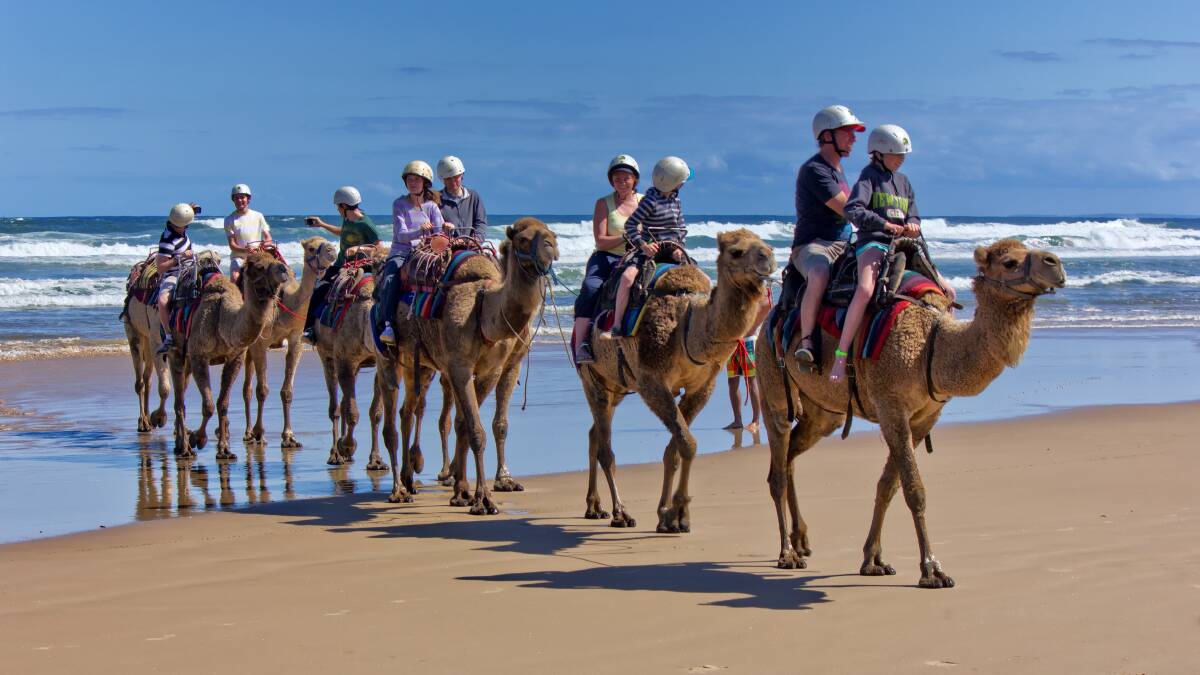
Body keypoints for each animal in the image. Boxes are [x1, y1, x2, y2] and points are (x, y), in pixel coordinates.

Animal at [166, 250, 291, 460]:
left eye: (275, 259)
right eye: (259, 267)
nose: (284, 270)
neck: (223, 320)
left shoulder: (235, 357)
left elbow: (222, 404)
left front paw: (224, 449)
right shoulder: (199, 355)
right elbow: (208, 405)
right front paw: (198, 438)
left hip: (187, 360)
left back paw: (179, 444)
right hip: (175, 351)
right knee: (179, 402)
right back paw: (184, 448)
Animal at [240, 236, 337, 447]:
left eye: (328, 241)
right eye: (311, 248)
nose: (332, 250)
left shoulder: (295, 338)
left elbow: (287, 391)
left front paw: (289, 436)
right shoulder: (260, 342)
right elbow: (262, 390)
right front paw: (260, 434)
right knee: (248, 388)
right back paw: (249, 432)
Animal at [378, 217, 558, 513]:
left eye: (551, 234)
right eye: (522, 239)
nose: (551, 247)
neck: (484, 308)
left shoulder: (493, 369)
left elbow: (473, 425)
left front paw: (465, 491)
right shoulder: (460, 367)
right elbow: (475, 430)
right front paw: (483, 499)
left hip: (421, 363)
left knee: (408, 411)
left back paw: (410, 477)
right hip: (387, 355)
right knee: (391, 421)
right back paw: (398, 490)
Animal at [579, 228, 776, 532]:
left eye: (766, 245)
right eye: (737, 252)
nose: (768, 259)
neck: (687, 325)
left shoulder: (702, 387)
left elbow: (675, 449)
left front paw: (667, 515)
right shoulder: (652, 382)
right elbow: (688, 444)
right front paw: (679, 512)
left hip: (617, 385)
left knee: (594, 434)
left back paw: (594, 506)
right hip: (592, 378)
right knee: (605, 449)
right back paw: (620, 513)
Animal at [757, 239, 1065, 588]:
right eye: (1010, 262)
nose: (1055, 263)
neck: (932, 345)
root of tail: (770, 317)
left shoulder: (924, 418)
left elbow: (888, 485)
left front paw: (873, 560)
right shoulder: (892, 407)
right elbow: (914, 490)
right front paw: (932, 569)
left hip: (823, 413)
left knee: (791, 455)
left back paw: (801, 540)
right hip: (771, 381)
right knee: (777, 468)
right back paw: (787, 553)